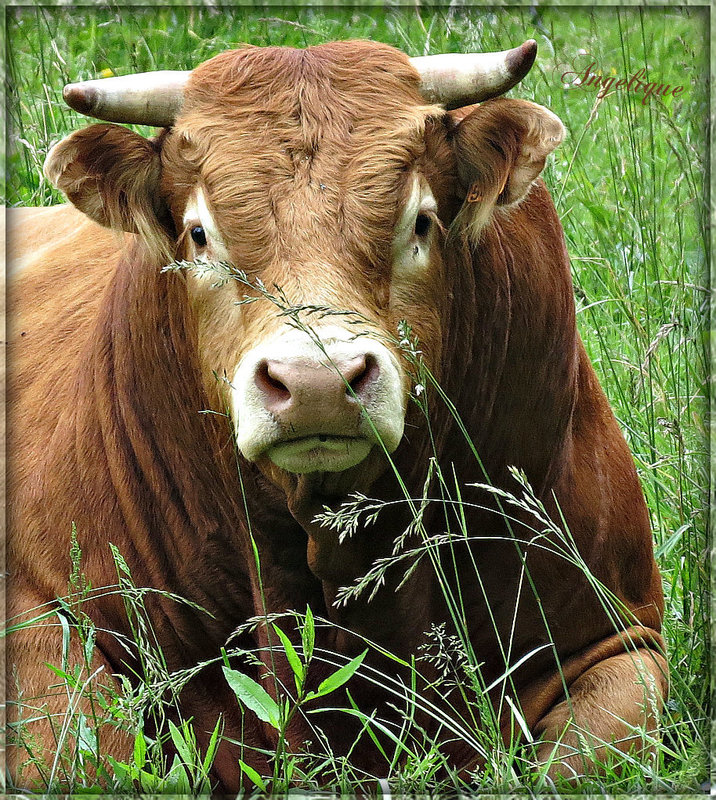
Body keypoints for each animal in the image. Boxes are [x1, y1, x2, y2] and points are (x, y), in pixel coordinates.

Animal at [5, 40, 668, 792]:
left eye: (421, 221)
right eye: (199, 235)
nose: (315, 380)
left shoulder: (617, 635)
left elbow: (584, 753)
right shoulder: (37, 618)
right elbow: (85, 754)